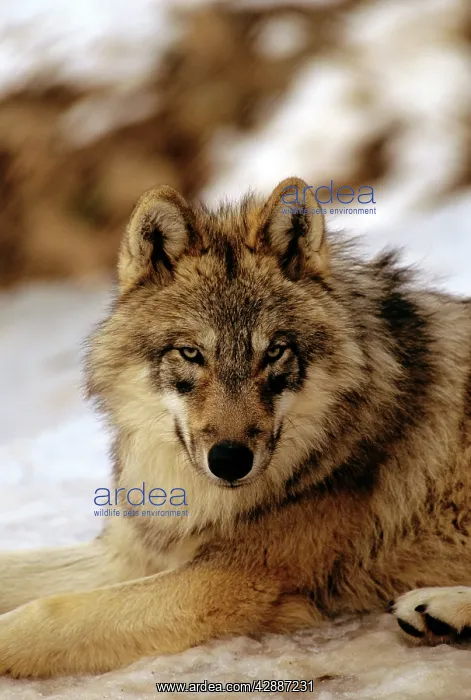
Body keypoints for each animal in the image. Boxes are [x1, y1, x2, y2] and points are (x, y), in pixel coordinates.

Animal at [1, 177, 471, 678]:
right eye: (191, 353)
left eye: (274, 352)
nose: (229, 460)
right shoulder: (132, 553)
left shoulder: (229, 579)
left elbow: (50, 611)